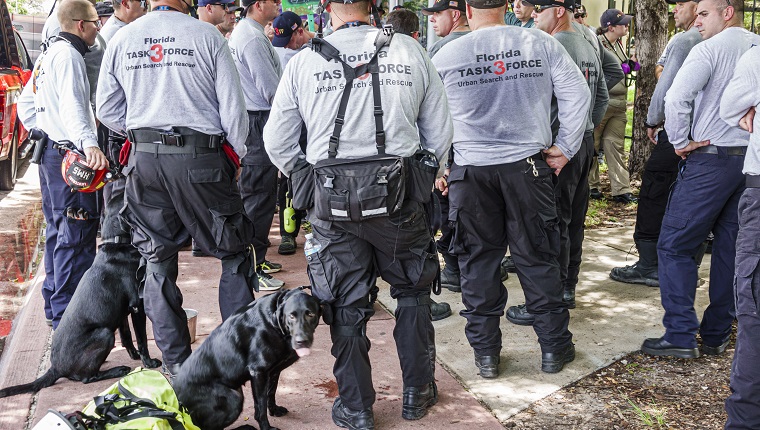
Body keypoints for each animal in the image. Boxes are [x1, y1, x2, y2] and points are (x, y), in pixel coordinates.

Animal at [0, 244, 160, 398]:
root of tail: (56, 368)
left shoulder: (122, 313)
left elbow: (127, 335)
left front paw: (134, 355)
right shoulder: (138, 306)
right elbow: (142, 339)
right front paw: (149, 363)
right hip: (105, 334)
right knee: (87, 378)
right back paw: (117, 370)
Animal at [174, 288, 320, 430]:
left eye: (311, 314)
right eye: (291, 316)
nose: (302, 341)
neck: (273, 322)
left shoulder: (273, 371)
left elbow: (271, 392)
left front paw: (274, 410)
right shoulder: (258, 372)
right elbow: (261, 407)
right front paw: (266, 427)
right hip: (234, 397)